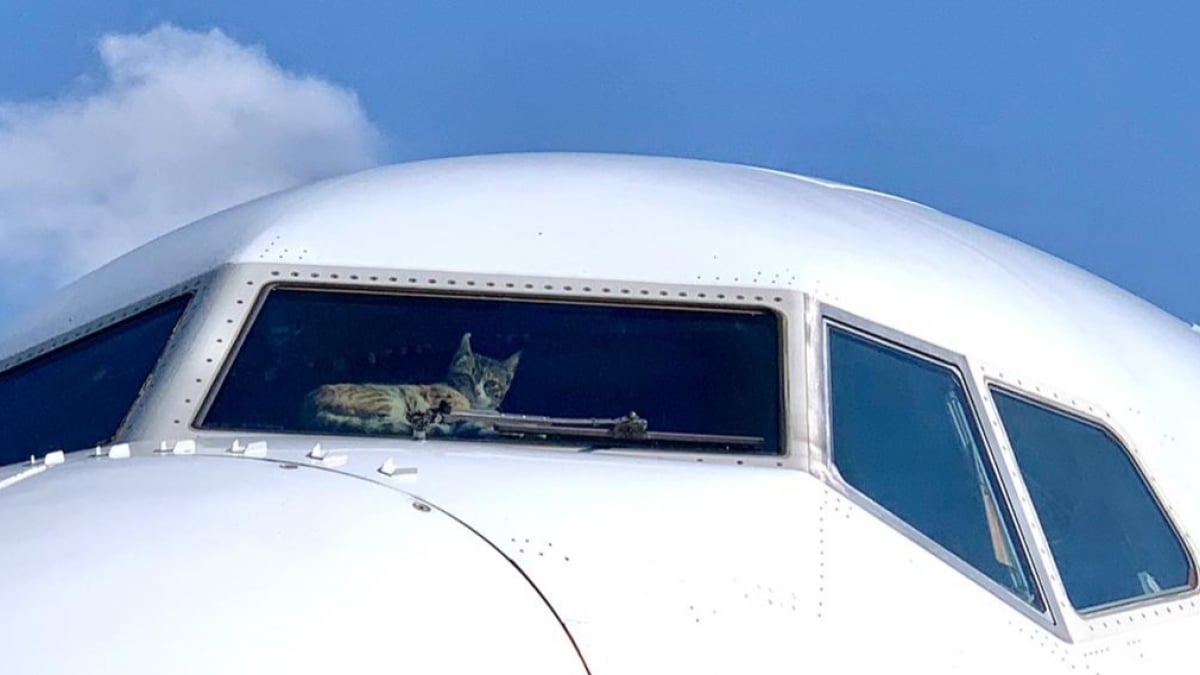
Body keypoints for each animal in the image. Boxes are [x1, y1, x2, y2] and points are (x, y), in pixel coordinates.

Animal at [302, 331, 518, 437]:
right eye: (467, 377)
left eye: (490, 383)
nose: (477, 391)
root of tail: (307, 409)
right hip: (388, 400)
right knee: (390, 423)